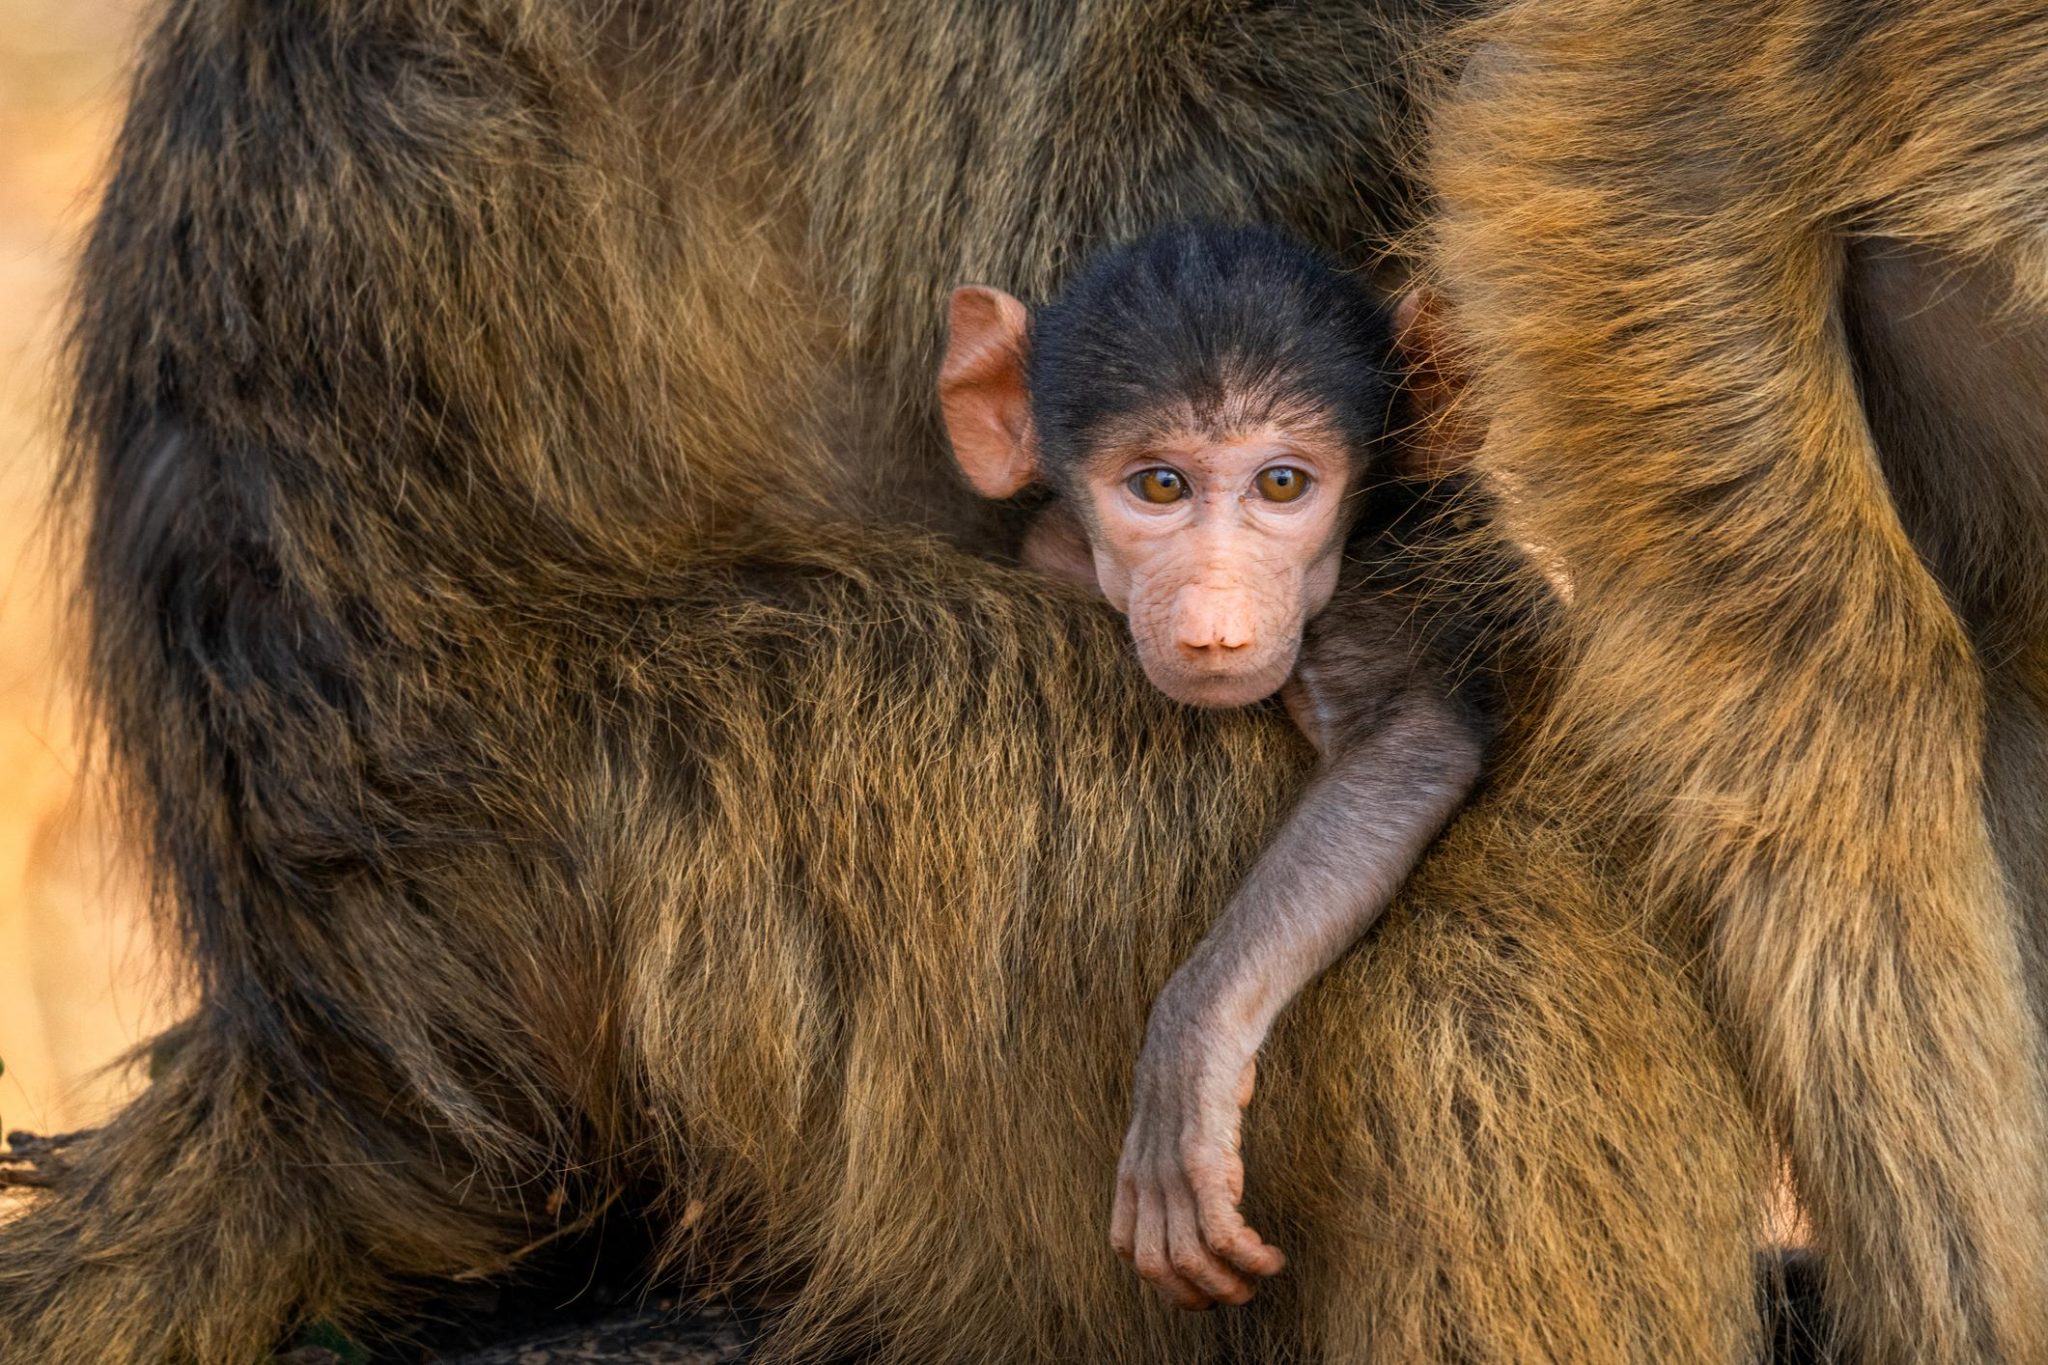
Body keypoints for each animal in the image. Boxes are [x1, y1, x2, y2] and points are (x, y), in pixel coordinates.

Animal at [938, 222, 1523, 1309]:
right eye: (1159, 486)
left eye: (1282, 485)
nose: (1215, 618)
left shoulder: (1360, 596)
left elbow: (1409, 744)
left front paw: (1189, 1048)